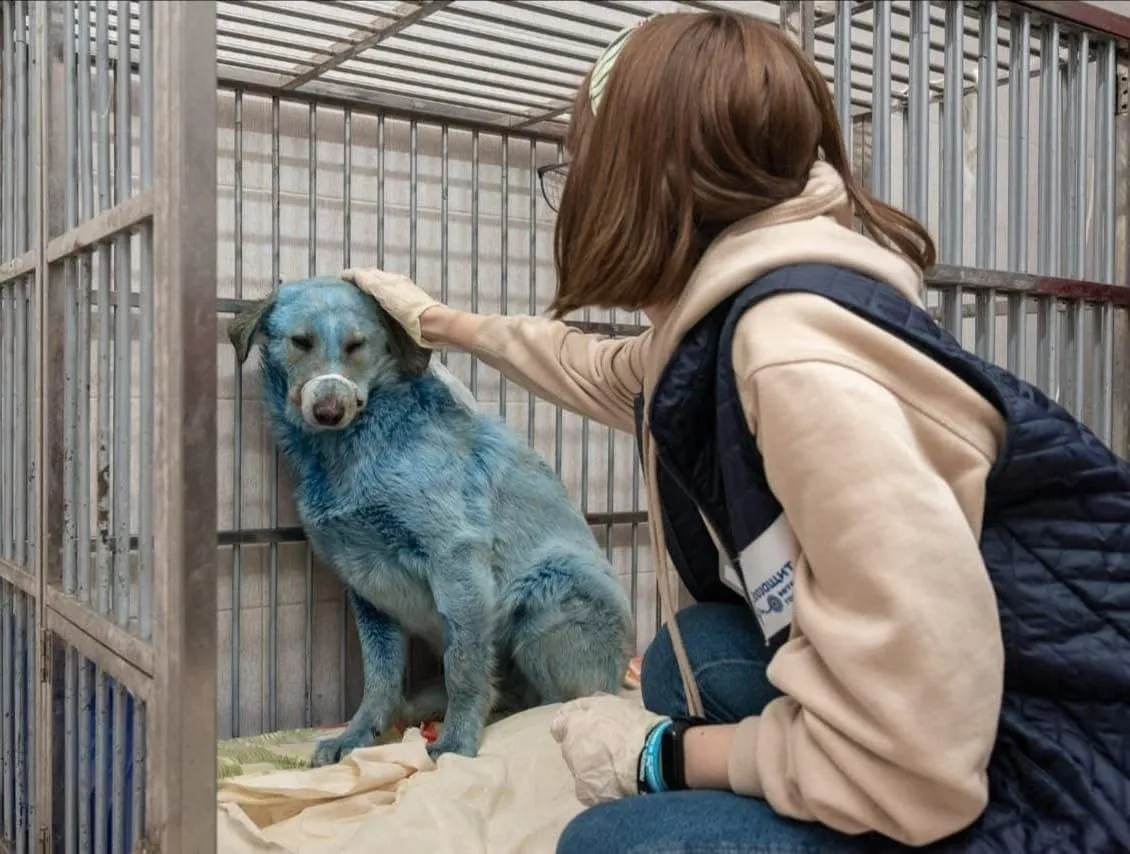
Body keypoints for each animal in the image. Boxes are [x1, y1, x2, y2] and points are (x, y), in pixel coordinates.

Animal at [227, 279, 637, 759]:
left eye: (356, 345)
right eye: (300, 342)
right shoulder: (365, 585)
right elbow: (379, 677)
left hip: (550, 597)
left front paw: (457, 741)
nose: (329, 411)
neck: (346, 452)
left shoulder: (456, 559)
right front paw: (357, 735)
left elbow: (465, 666)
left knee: (554, 703)